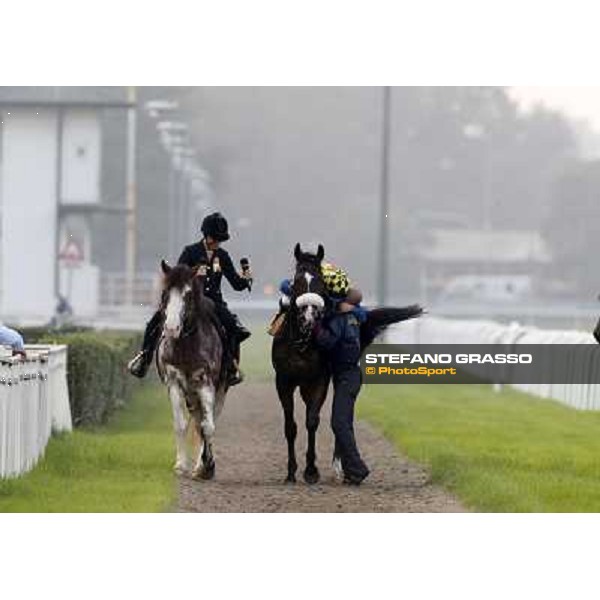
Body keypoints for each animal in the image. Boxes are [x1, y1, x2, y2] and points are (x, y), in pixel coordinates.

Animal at [156, 260, 229, 480]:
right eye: (165, 293)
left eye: (188, 295)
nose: (171, 328)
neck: (186, 346)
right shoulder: (173, 382)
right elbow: (181, 424)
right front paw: (181, 465)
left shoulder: (206, 382)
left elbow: (208, 426)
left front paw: (208, 465)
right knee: (196, 423)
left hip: (218, 391)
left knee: (207, 422)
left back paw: (201, 465)